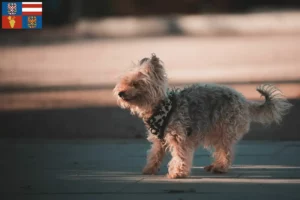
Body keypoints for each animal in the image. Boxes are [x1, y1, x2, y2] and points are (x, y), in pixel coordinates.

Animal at [113, 53, 292, 178]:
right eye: (123, 82)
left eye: (136, 83)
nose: (120, 93)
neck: (160, 108)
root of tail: (243, 100)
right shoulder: (159, 140)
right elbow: (155, 154)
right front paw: (149, 169)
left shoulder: (179, 137)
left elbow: (180, 155)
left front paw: (177, 173)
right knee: (221, 150)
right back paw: (215, 166)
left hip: (224, 129)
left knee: (226, 150)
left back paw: (220, 167)